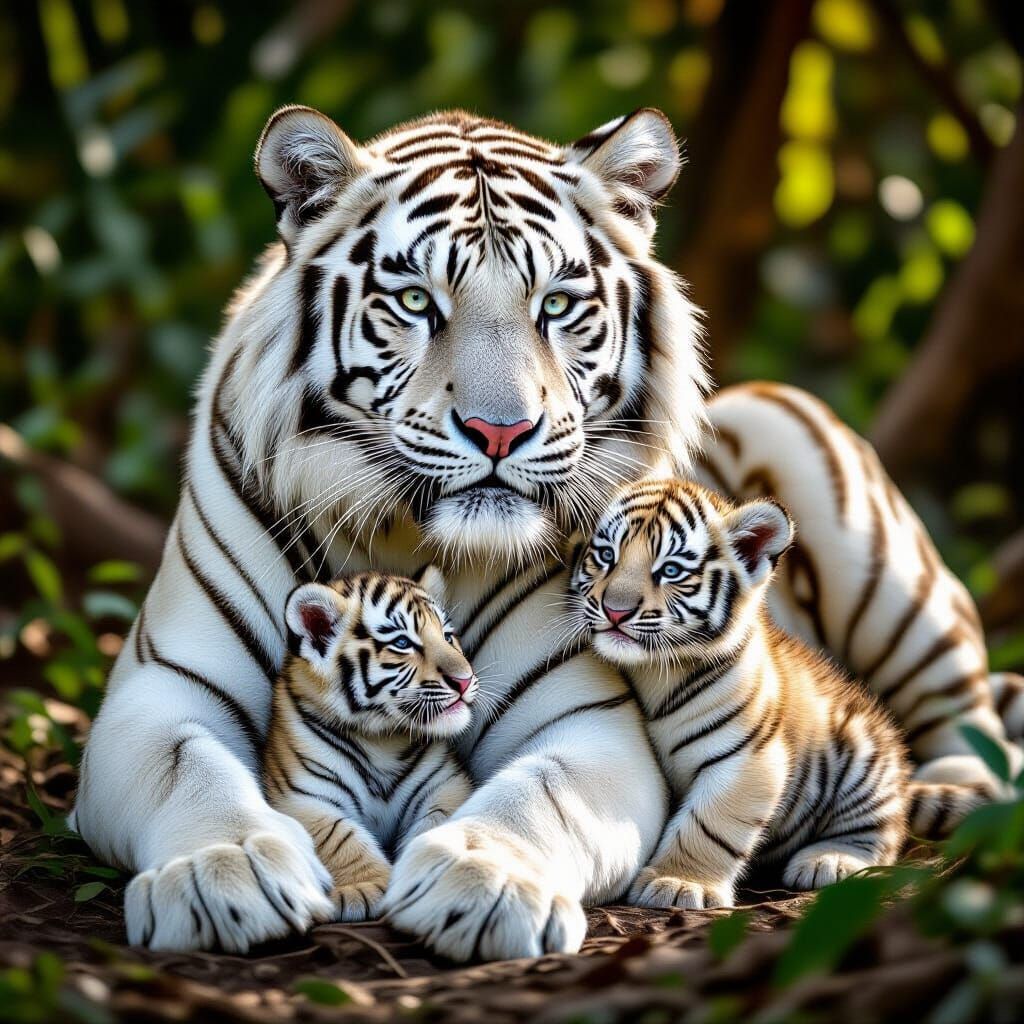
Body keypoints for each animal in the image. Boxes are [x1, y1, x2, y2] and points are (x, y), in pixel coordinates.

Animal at [263, 568, 475, 926]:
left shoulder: (447, 784)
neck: (382, 739)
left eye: (447, 637)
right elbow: (337, 836)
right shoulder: (301, 797)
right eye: (402, 643)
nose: (465, 680)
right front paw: (364, 888)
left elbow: (438, 823)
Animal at [567, 478, 985, 909]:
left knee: (879, 834)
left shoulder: (748, 757)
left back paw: (830, 860)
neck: (651, 672)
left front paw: (679, 883)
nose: (615, 611)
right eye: (606, 555)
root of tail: (902, 785)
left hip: (865, 760)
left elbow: (709, 825)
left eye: (670, 570)